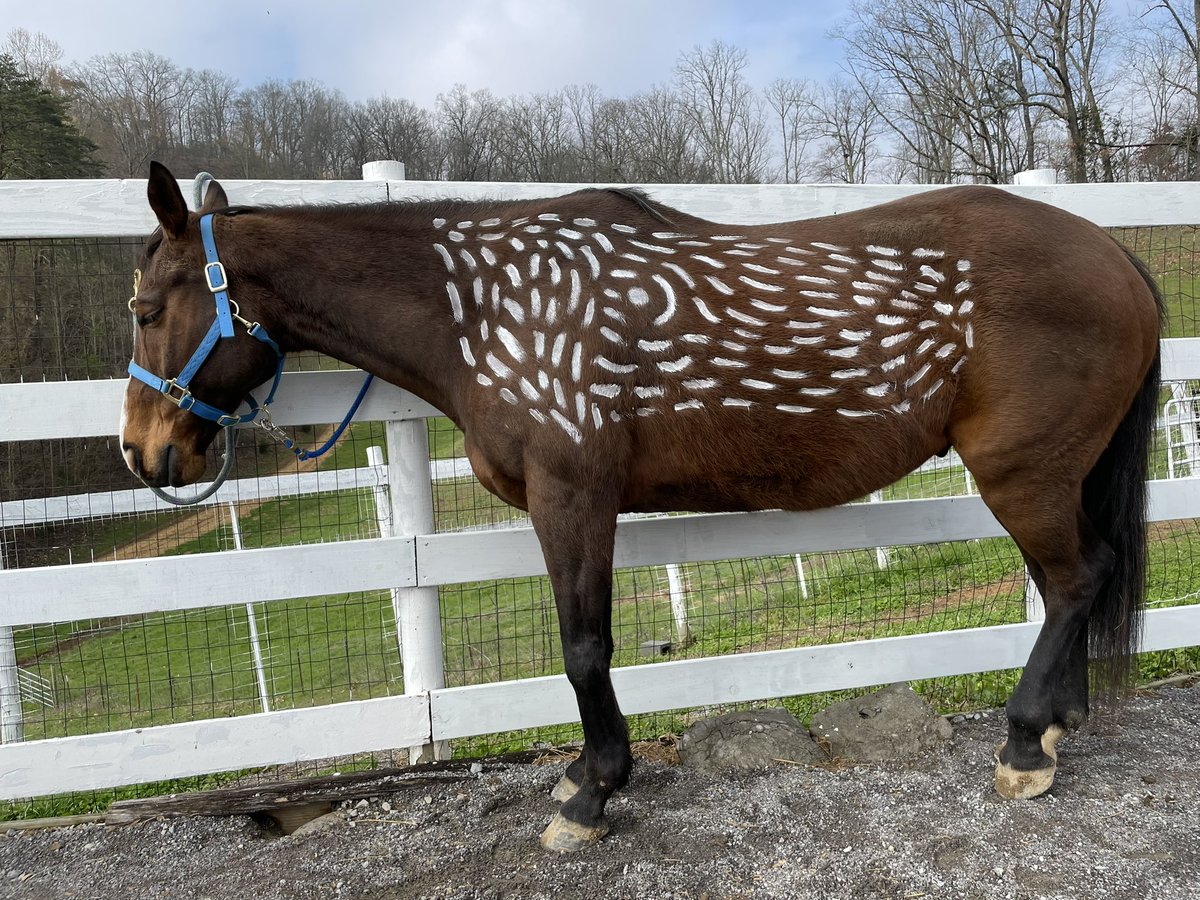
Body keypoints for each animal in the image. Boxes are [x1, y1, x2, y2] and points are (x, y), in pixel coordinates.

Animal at [121, 160, 1161, 854]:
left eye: (143, 308)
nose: (143, 452)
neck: (484, 309)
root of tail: (1113, 253)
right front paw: (586, 775)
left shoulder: (573, 497)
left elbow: (584, 647)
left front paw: (592, 795)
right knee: (1072, 584)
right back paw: (1054, 725)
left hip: (1022, 475)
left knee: (1077, 579)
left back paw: (1025, 743)